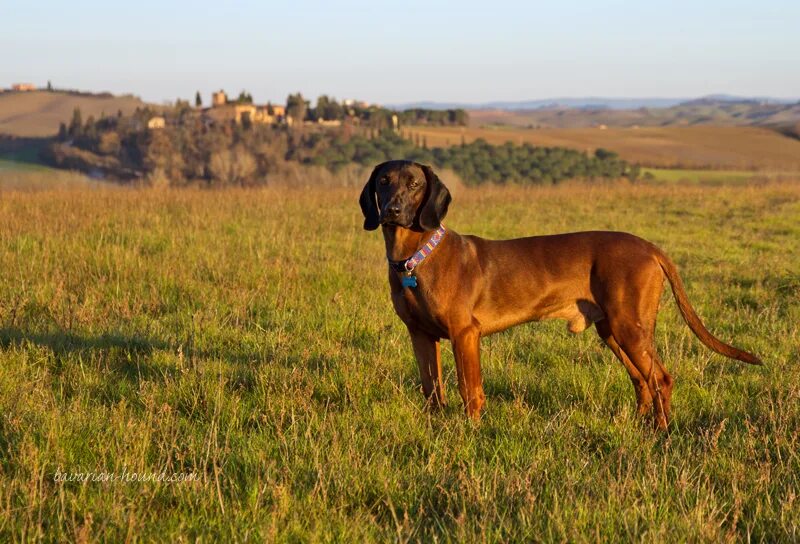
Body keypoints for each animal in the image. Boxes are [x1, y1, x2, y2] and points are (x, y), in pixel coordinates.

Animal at [360, 160, 764, 430]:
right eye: (383, 181)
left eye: (415, 183)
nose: (393, 210)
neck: (414, 258)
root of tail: (650, 247)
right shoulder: (420, 335)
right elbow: (431, 387)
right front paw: (436, 426)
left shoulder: (465, 334)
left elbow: (469, 389)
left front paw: (472, 430)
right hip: (612, 330)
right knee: (641, 380)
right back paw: (640, 426)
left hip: (629, 328)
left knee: (660, 379)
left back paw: (662, 433)